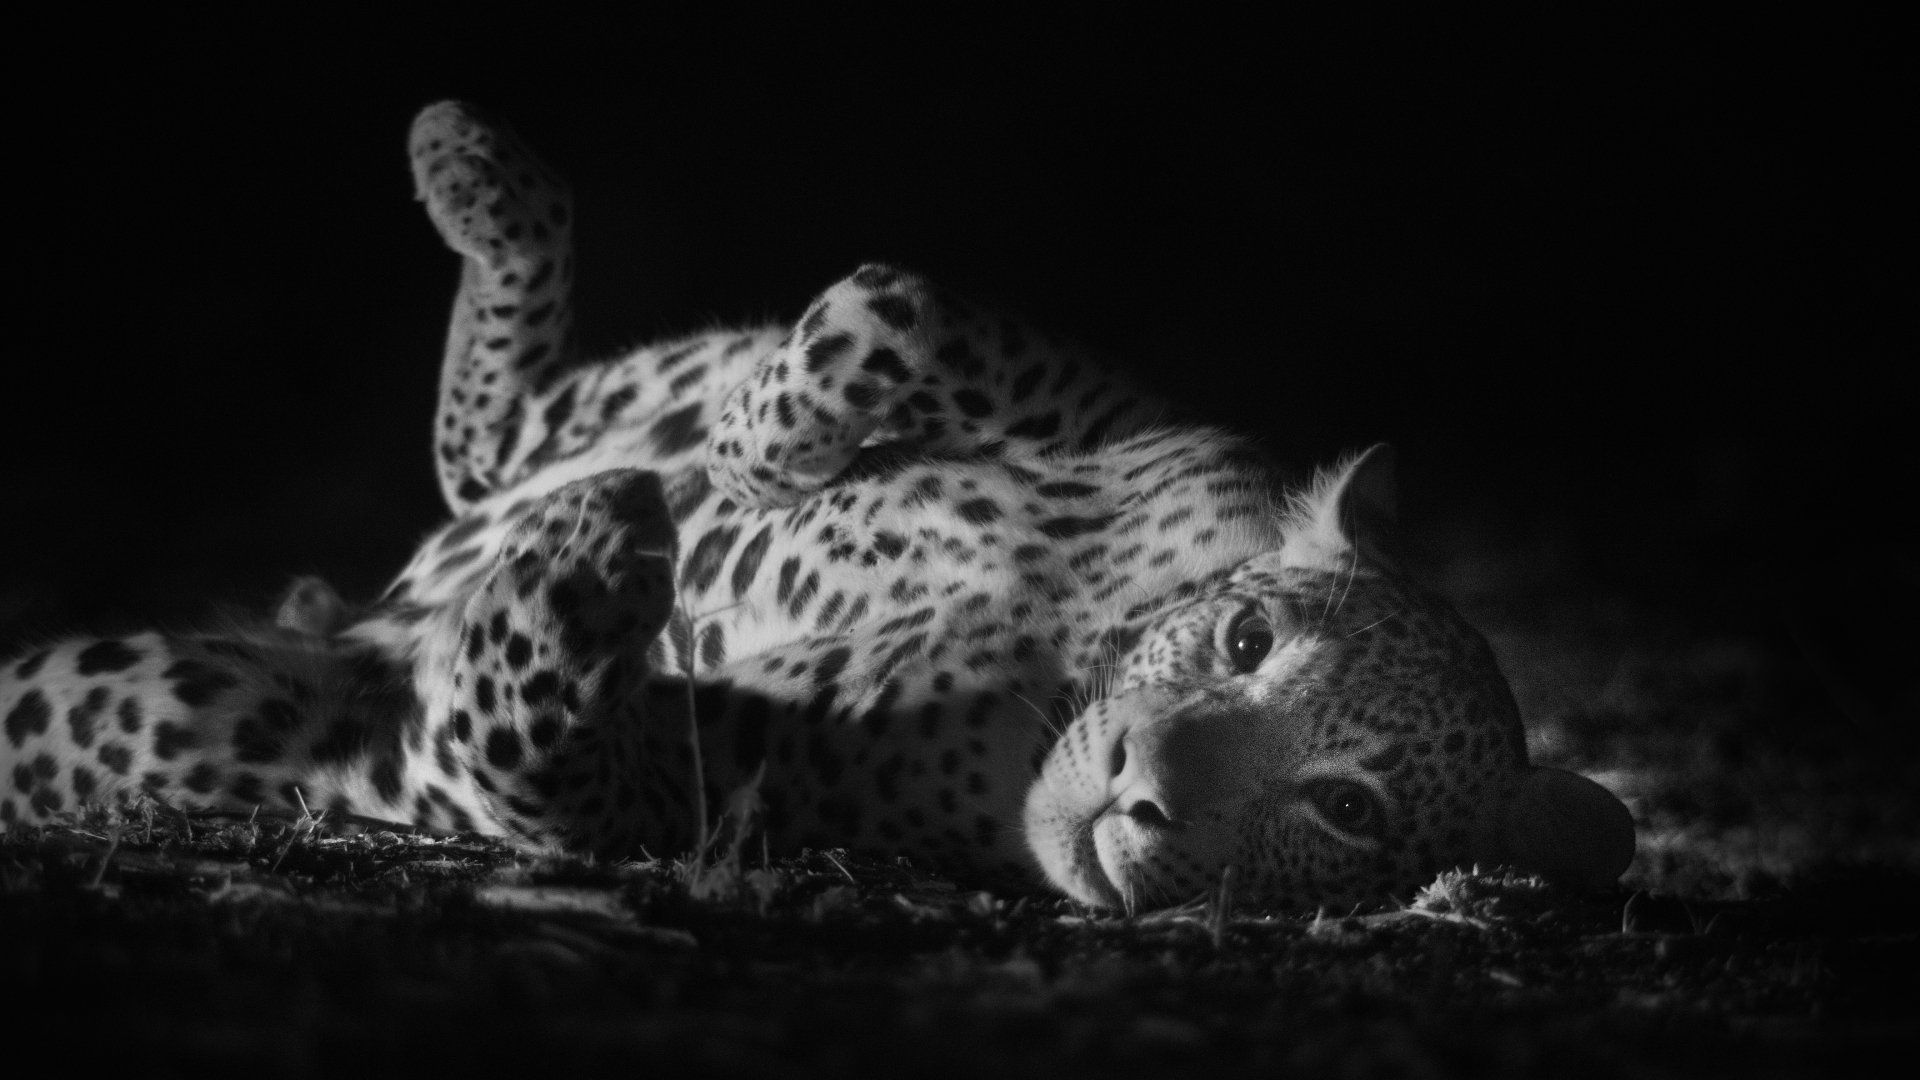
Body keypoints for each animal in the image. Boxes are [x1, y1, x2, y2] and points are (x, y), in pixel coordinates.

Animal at [0, 101, 1633, 912]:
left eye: (1349, 811)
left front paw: (607, 558)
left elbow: (531, 748)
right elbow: (896, 304)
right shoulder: (1116, 414)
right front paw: (747, 468)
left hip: (174, 704)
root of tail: (375, 595)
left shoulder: (670, 792)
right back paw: (481, 183)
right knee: (505, 429)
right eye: (1246, 641)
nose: (1143, 791)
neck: (1071, 652)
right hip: (590, 403)